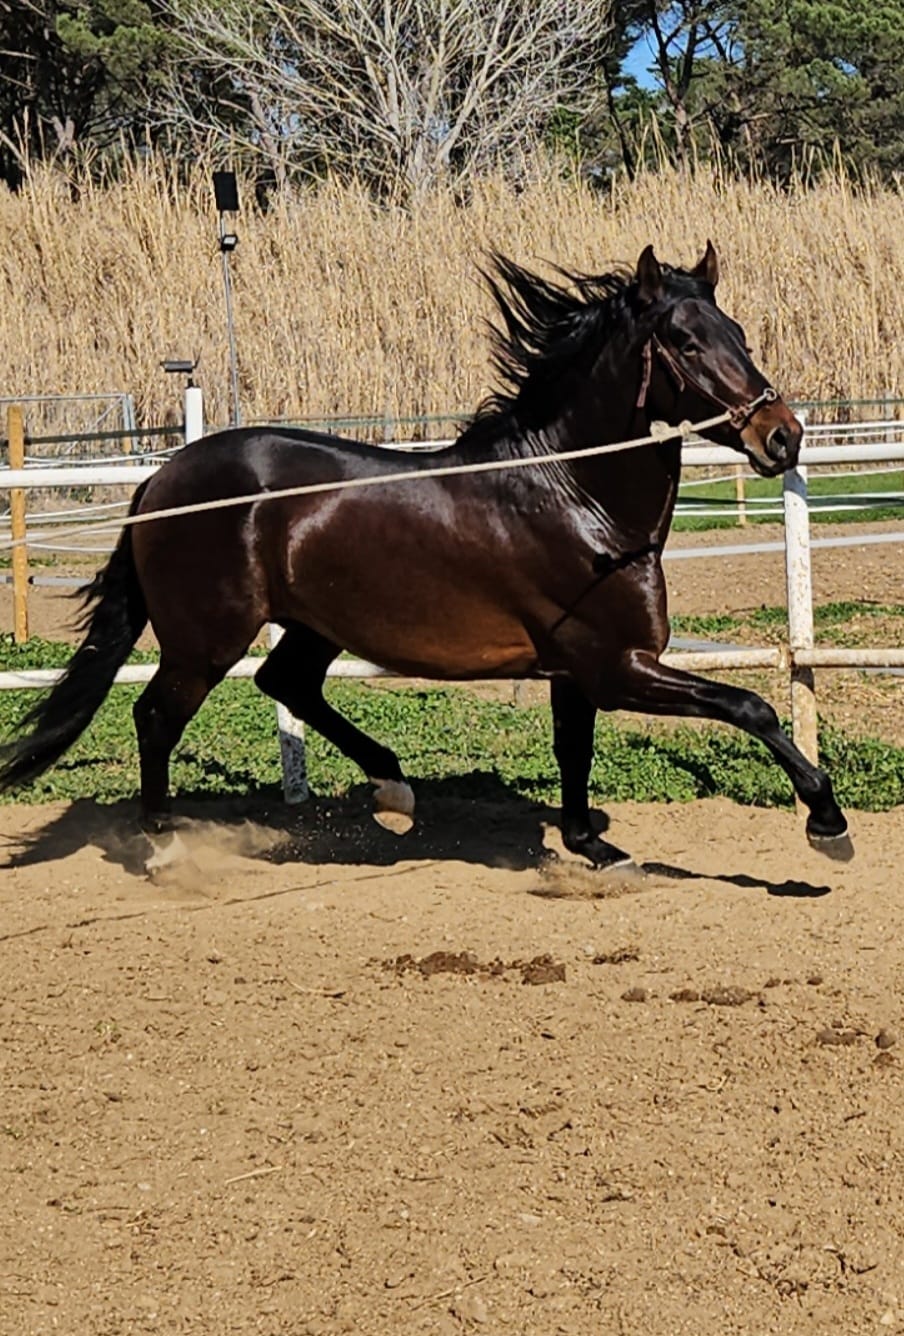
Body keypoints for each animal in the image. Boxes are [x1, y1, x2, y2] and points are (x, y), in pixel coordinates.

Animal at [0, 241, 853, 867]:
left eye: (739, 336)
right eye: (684, 341)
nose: (782, 435)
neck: (577, 498)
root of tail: (158, 481)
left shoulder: (576, 669)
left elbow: (573, 749)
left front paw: (590, 846)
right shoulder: (616, 665)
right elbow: (751, 706)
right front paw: (826, 821)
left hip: (314, 624)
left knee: (286, 682)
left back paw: (393, 788)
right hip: (204, 641)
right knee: (155, 716)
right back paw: (163, 848)